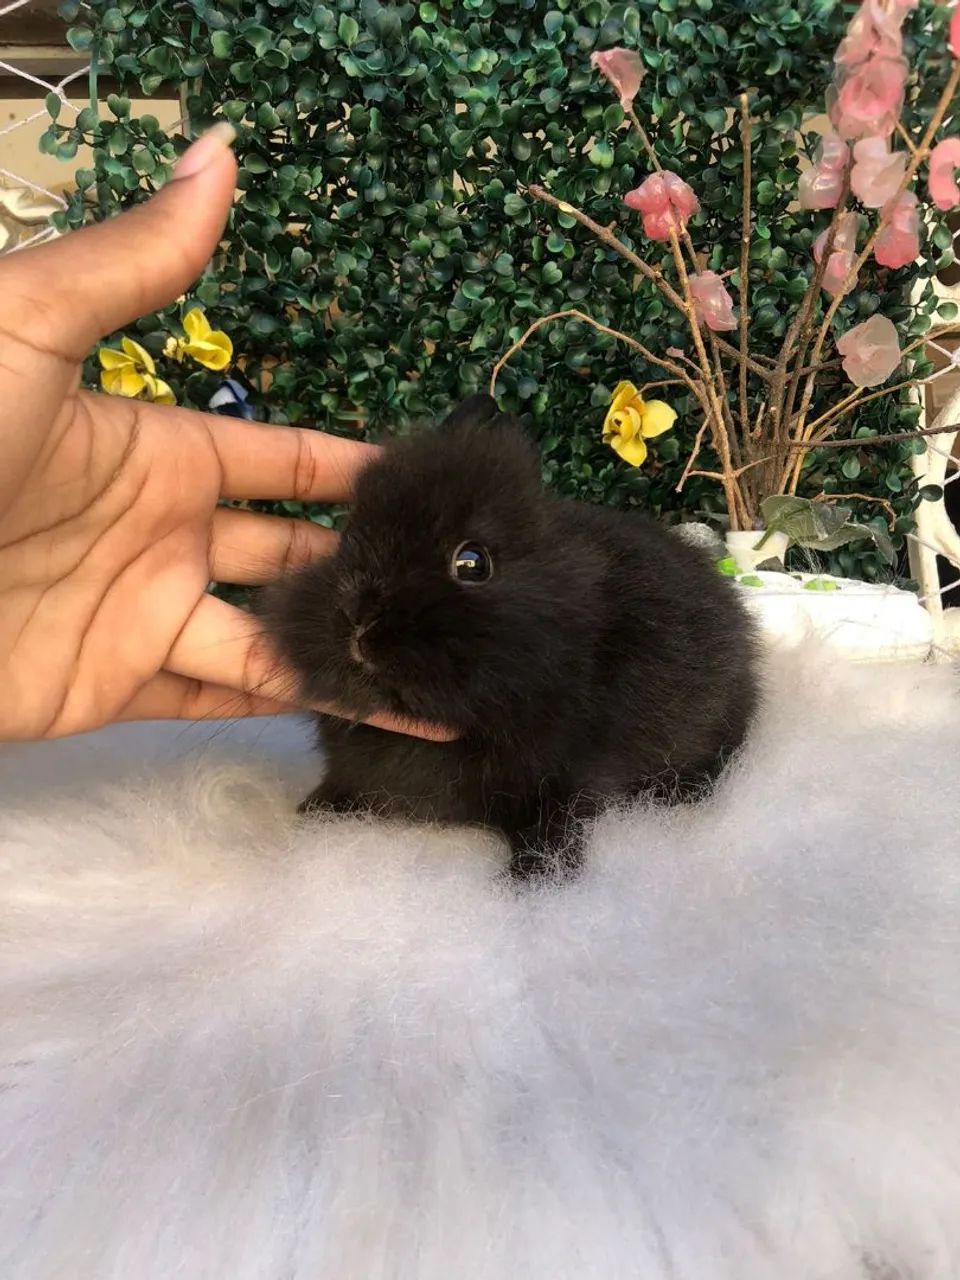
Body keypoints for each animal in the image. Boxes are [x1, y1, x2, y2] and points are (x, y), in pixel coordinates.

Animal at [261, 394, 758, 878]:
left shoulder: (570, 781)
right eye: (348, 535)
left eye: (473, 563)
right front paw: (313, 812)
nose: (357, 623)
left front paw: (535, 880)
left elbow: (555, 827)